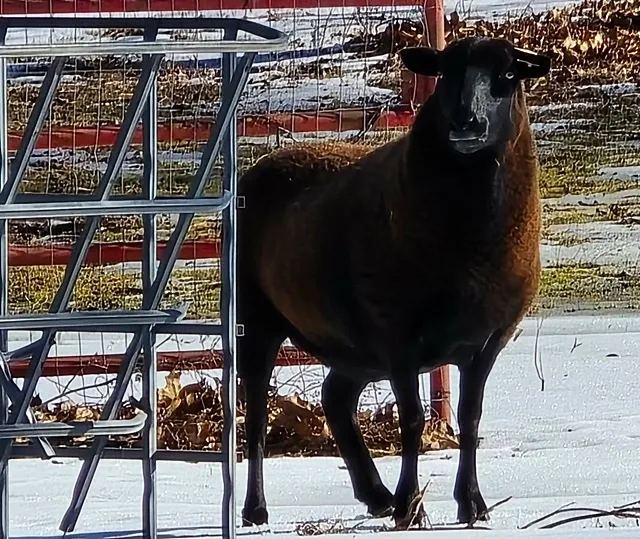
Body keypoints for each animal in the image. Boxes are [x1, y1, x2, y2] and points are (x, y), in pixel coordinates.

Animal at [236, 36, 551, 529]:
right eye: (444, 73)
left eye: (507, 74)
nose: (466, 123)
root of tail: (266, 161)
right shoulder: (399, 335)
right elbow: (413, 420)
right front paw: (409, 508)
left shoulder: (488, 340)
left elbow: (470, 418)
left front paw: (471, 505)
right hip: (257, 318)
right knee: (255, 418)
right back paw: (256, 509)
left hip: (355, 346)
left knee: (335, 398)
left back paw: (375, 495)